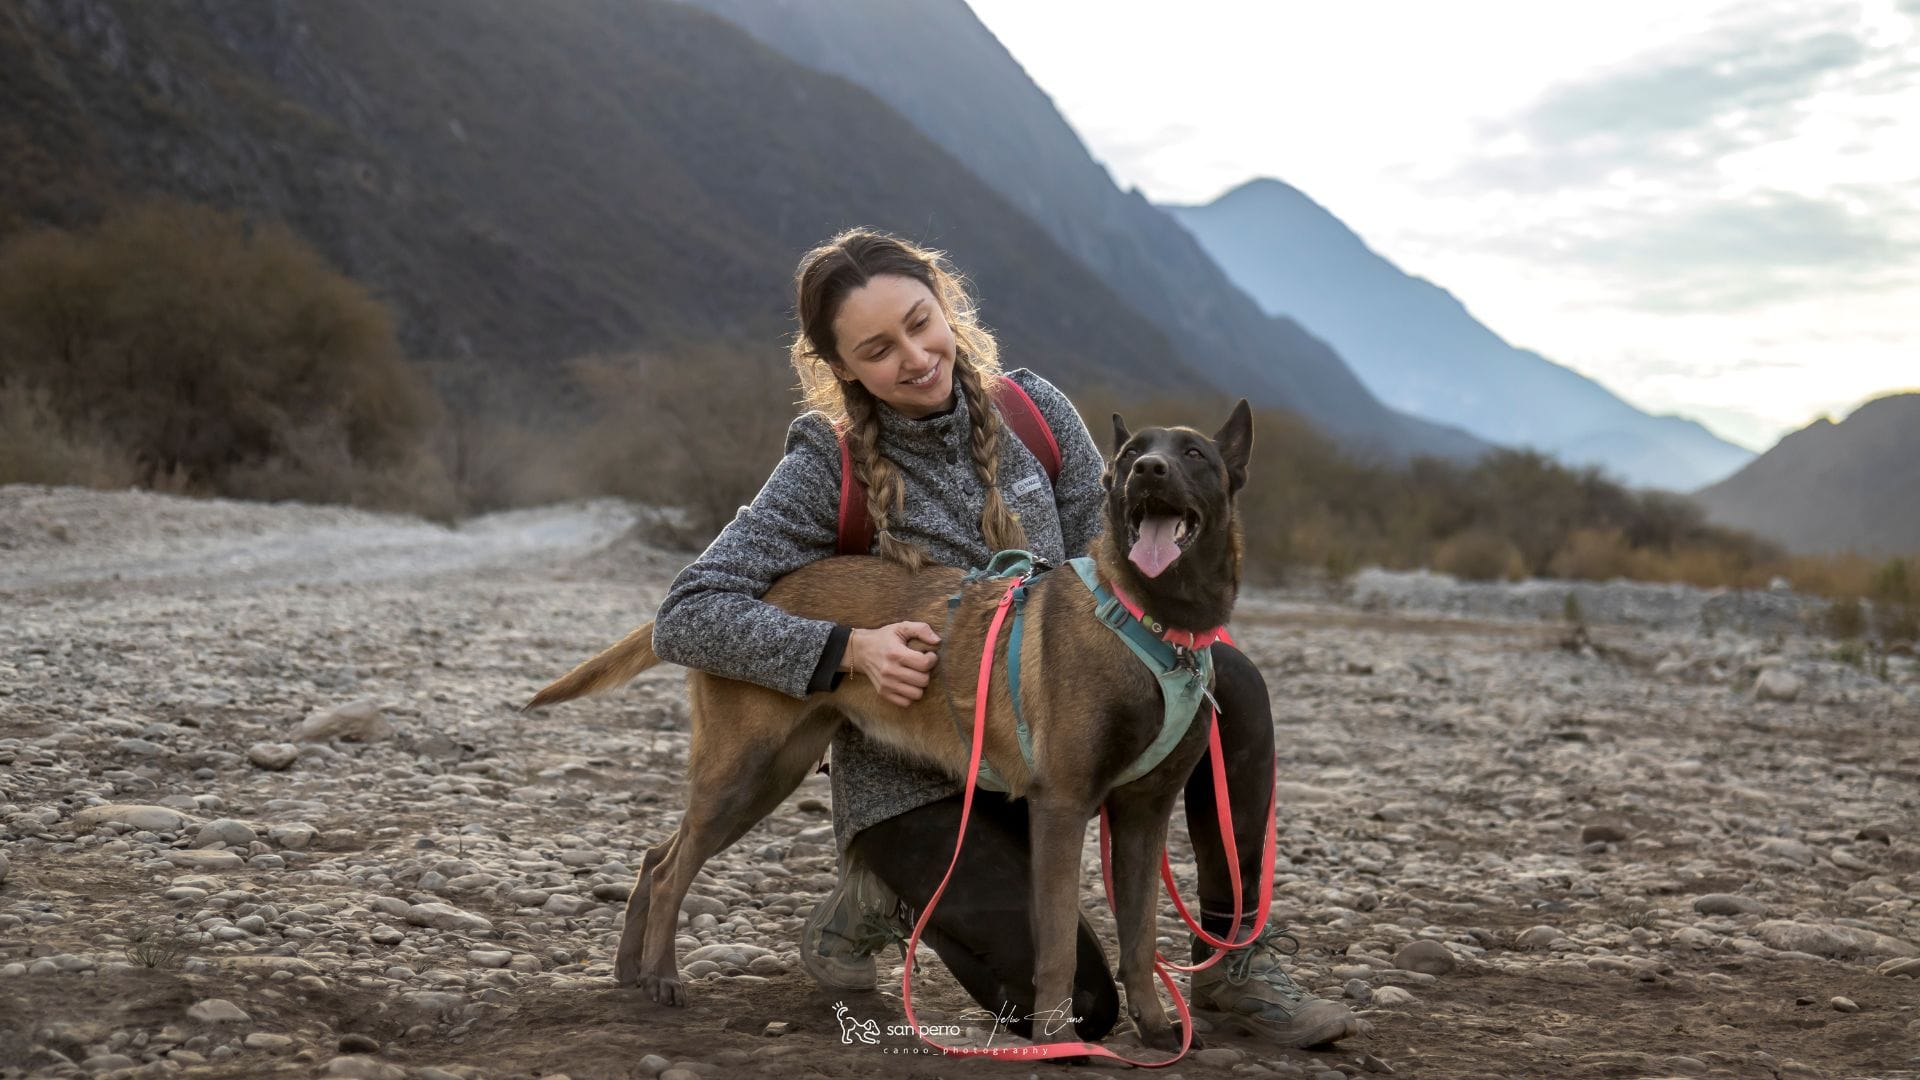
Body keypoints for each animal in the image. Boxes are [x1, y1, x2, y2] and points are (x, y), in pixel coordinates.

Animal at [526, 401, 1251, 1045]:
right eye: (1130, 456)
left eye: (1194, 454)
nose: (1149, 470)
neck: (1154, 619)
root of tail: (758, 590)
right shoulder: (1063, 809)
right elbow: (1057, 952)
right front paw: (1056, 1038)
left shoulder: (1143, 819)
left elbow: (1139, 941)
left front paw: (1157, 1029)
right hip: (742, 771)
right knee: (673, 868)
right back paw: (661, 975)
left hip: (769, 777)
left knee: (656, 855)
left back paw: (628, 967)